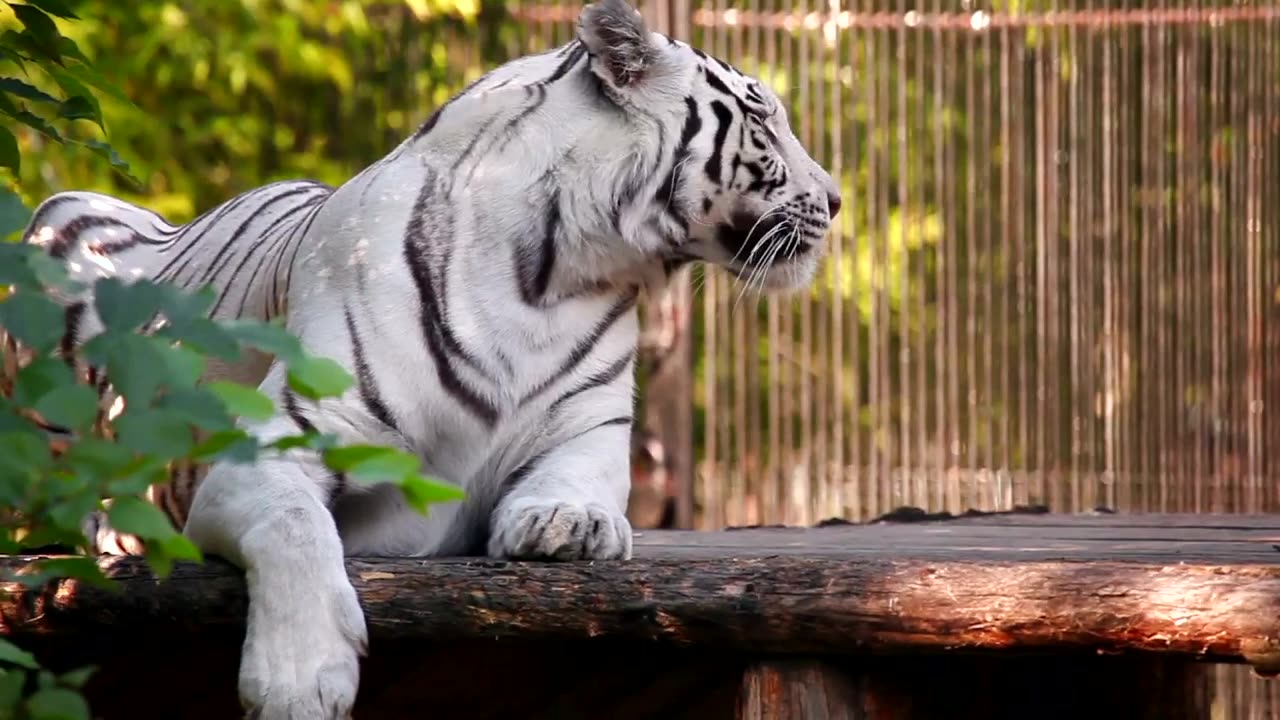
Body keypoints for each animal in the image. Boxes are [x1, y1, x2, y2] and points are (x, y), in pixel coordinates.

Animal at [22, 2, 839, 712]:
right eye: (763, 118)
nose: (835, 200)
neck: (554, 276)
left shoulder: (592, 432)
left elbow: (577, 482)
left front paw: (565, 522)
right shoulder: (262, 454)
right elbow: (296, 525)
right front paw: (298, 682)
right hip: (54, 245)